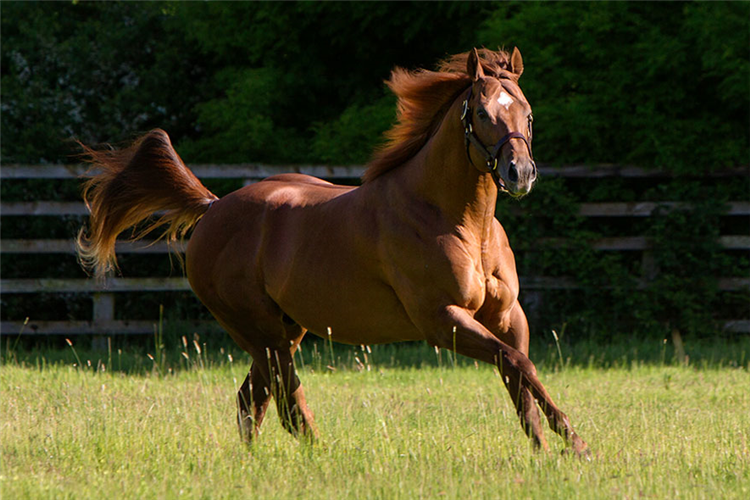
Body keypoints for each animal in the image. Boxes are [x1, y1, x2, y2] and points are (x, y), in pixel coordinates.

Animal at [79, 48, 592, 456]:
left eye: (527, 113)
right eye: (482, 113)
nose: (520, 173)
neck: (460, 223)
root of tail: (213, 208)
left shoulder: (508, 317)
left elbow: (519, 378)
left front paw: (550, 448)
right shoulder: (441, 319)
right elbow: (519, 366)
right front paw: (576, 444)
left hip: (285, 330)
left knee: (253, 399)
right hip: (260, 331)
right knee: (285, 401)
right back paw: (320, 453)